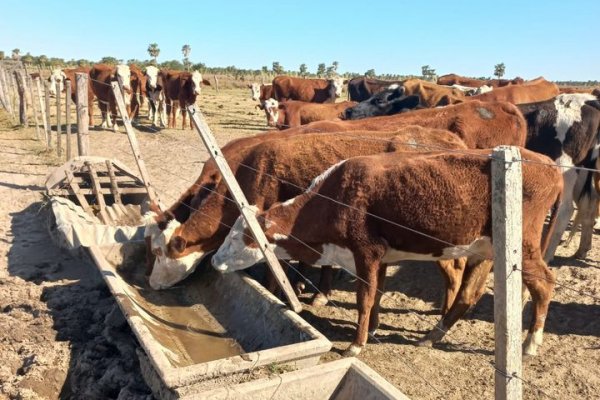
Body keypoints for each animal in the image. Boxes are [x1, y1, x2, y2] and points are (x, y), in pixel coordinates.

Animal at [211, 147, 564, 356]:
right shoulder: (380, 257)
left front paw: (356, 344)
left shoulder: (365, 253)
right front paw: (373, 328)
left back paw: (531, 343)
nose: (214, 260)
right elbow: (377, 294)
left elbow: (364, 299)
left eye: (241, 238)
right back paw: (431, 336)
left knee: (544, 284)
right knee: (469, 293)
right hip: (484, 249)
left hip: (523, 248)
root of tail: (549, 164)